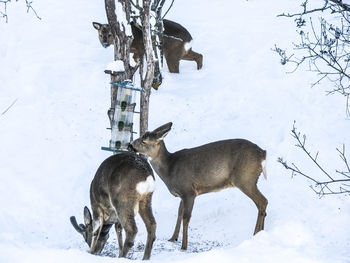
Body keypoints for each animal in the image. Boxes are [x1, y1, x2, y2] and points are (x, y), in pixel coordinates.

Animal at [130, 124, 270, 252]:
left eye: (144, 141)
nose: (130, 145)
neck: (170, 170)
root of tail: (263, 154)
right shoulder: (182, 194)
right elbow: (179, 213)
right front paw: (172, 238)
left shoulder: (189, 191)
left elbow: (186, 217)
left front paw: (184, 246)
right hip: (249, 179)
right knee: (262, 203)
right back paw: (261, 233)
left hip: (245, 179)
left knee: (262, 201)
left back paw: (256, 233)